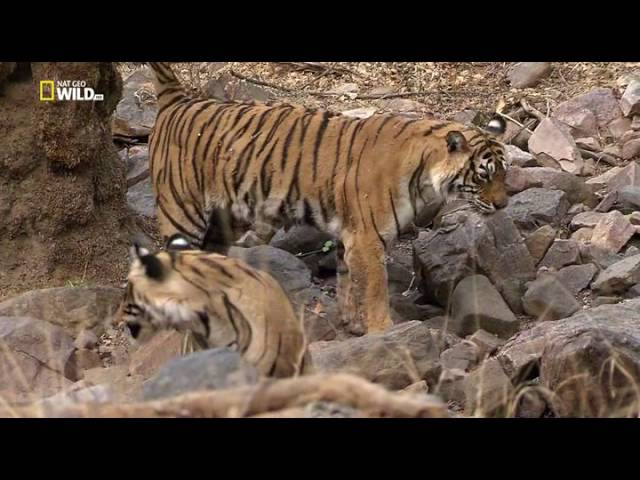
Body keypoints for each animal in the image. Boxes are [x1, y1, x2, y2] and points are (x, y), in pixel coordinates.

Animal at [146, 62, 509, 335]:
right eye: (484, 175)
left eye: (504, 173)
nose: (503, 204)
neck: (423, 172)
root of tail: (177, 101)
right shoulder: (367, 238)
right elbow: (375, 288)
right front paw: (382, 329)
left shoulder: (349, 234)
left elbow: (346, 278)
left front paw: (351, 322)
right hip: (182, 214)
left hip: (224, 221)